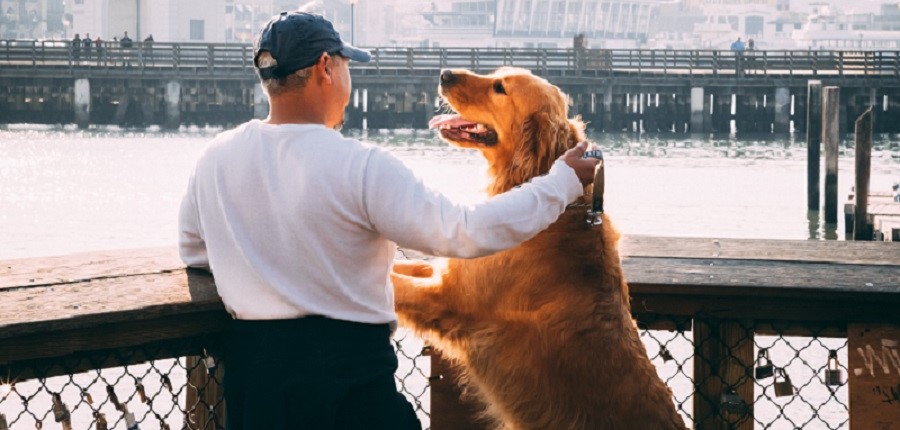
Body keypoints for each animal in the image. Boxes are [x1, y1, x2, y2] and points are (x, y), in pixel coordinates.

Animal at [390, 68, 684, 430]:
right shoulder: (446, 273)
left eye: (499, 88)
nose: (444, 74)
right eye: (496, 73)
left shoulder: (446, 298)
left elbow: (394, 285)